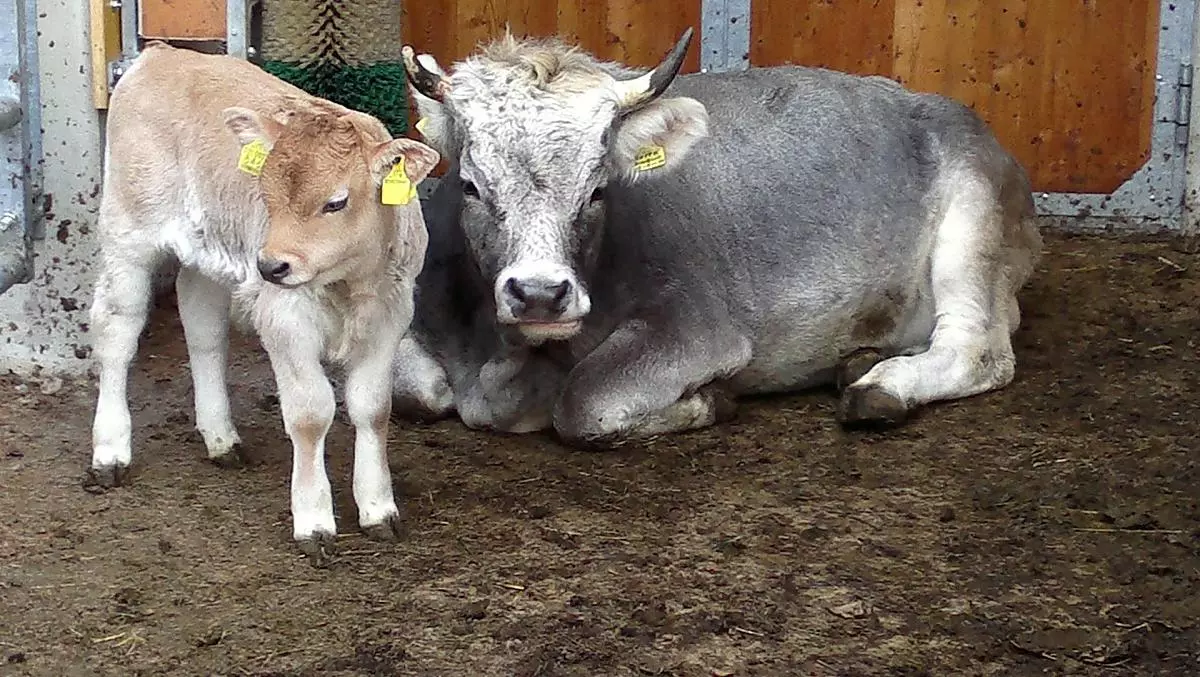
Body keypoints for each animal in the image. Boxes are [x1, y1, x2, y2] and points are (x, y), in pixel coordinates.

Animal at [86, 42, 439, 564]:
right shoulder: (285, 319)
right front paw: (314, 519)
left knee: (204, 329)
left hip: (205, 249)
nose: (271, 265)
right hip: (127, 232)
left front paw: (378, 508)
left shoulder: (390, 316)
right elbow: (311, 414)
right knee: (117, 331)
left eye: (336, 202)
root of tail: (162, 53)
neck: (348, 283)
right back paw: (110, 452)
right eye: (267, 194)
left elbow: (373, 407)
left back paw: (221, 438)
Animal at [392, 29, 1041, 447]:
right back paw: (860, 359)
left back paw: (882, 387)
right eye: (471, 185)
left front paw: (710, 401)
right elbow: (413, 392)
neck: (502, 360)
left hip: (973, 220)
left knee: (980, 350)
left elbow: (584, 404)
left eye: (598, 189)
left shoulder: (697, 328)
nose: (539, 294)